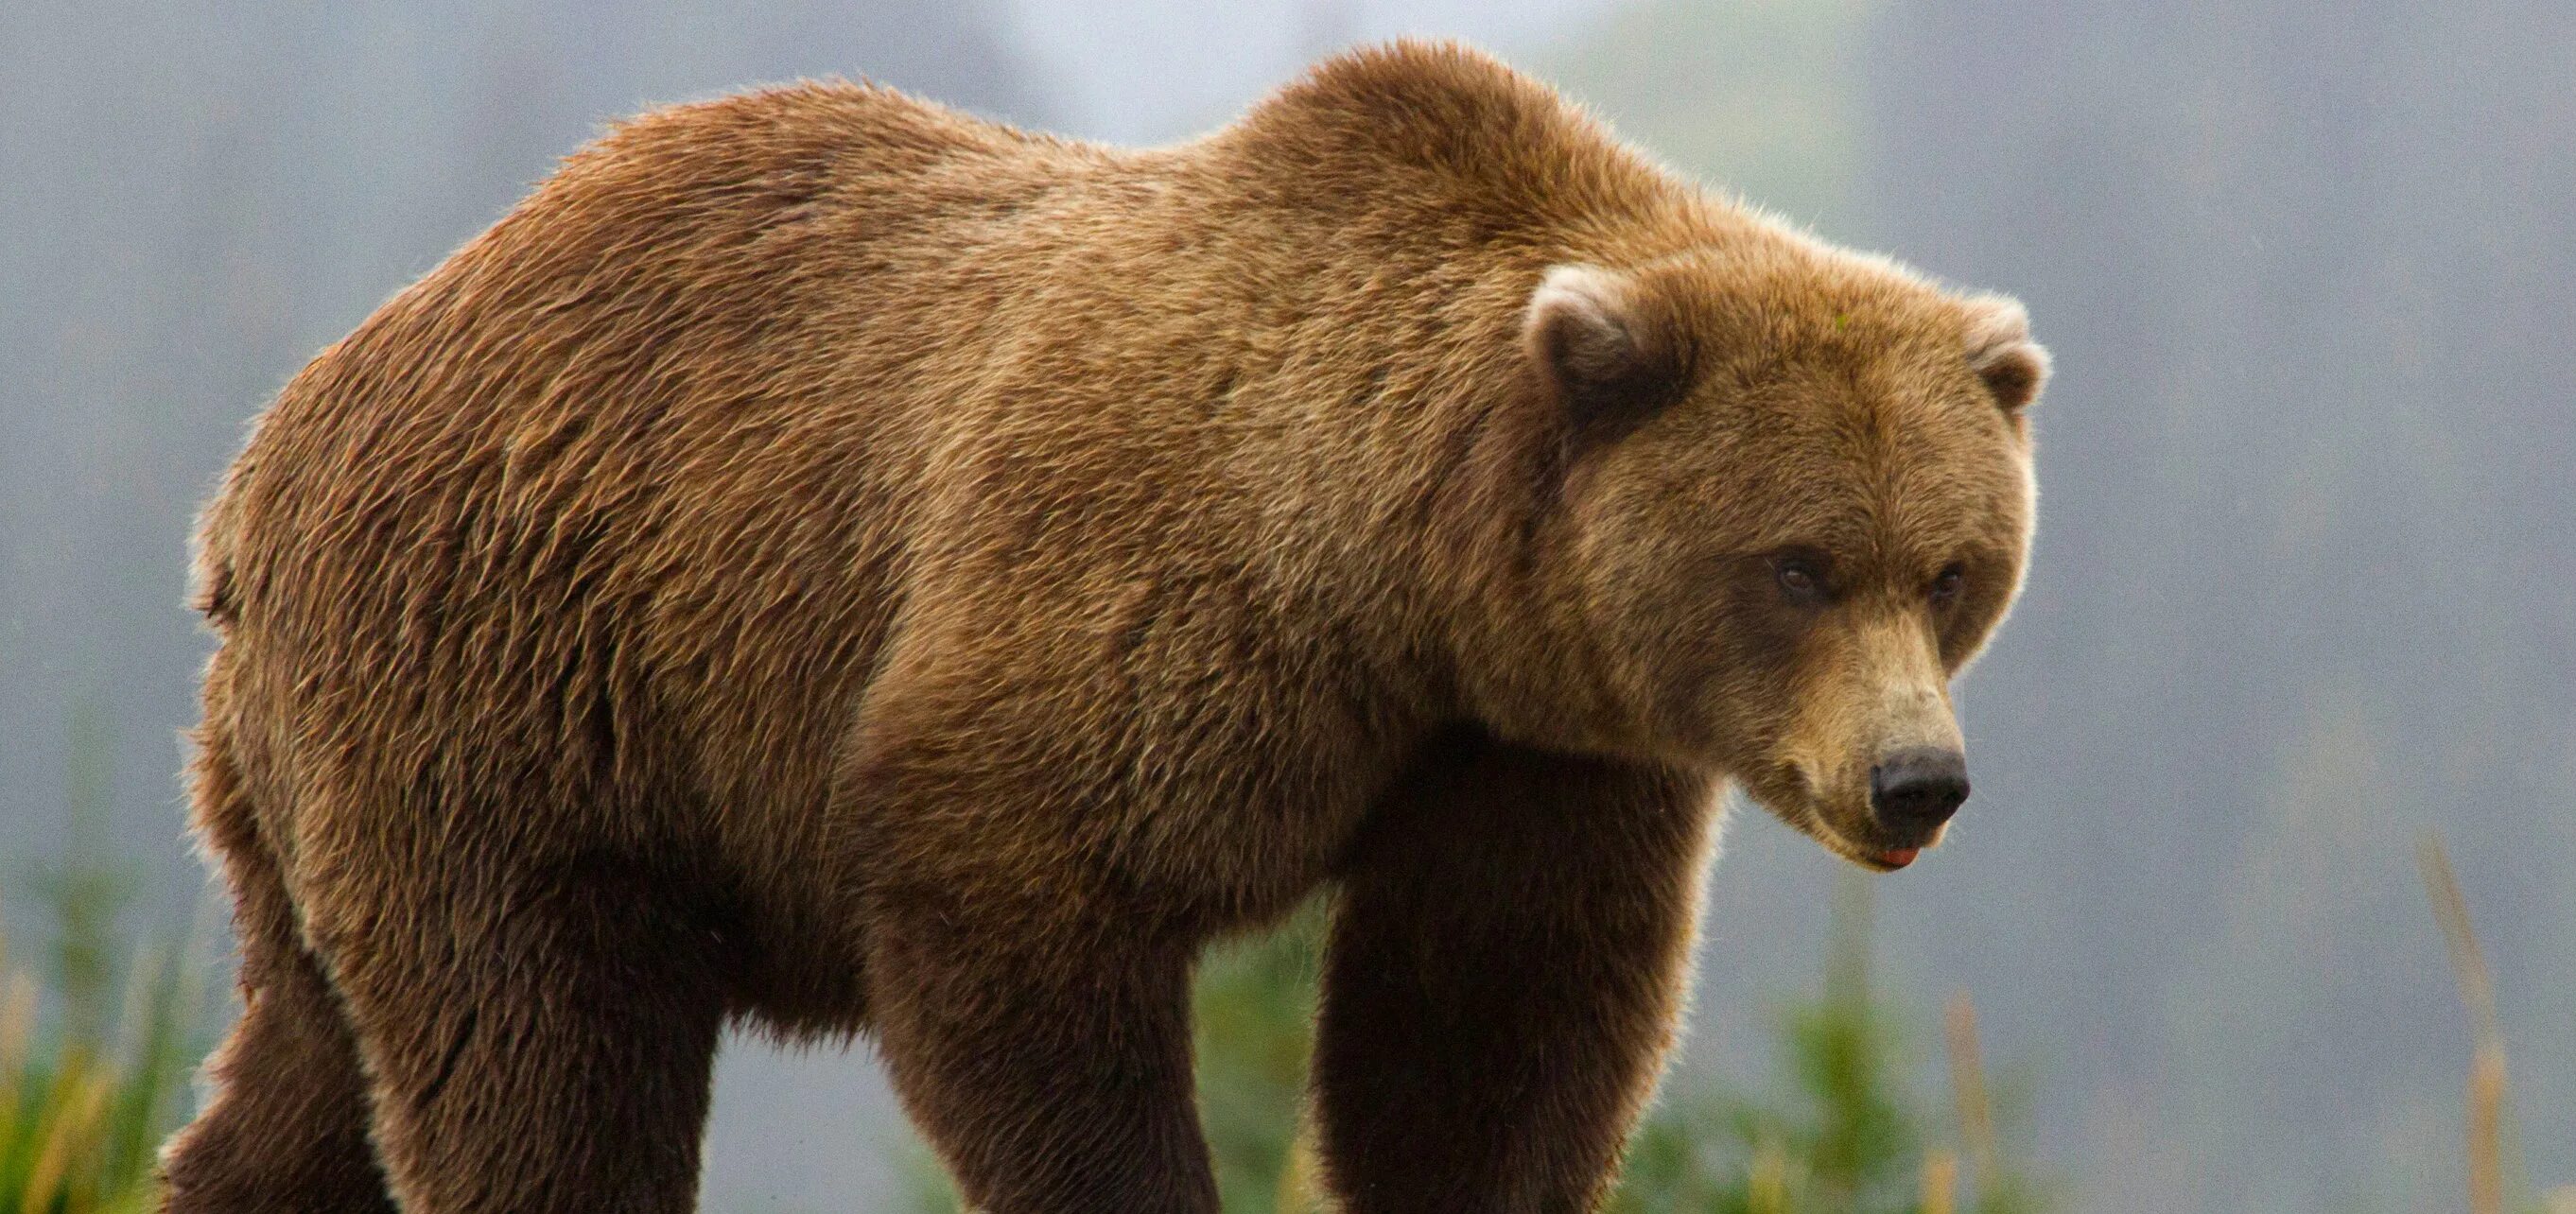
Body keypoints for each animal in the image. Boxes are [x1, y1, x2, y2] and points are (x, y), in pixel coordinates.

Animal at [161, 38, 2050, 1214]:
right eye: (1798, 563)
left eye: (1951, 568)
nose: (1914, 779)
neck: (1407, 575)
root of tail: (271, 447)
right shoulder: (1142, 595)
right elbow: (1020, 913)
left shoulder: (1526, 752)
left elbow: (1485, 1034)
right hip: (516, 687)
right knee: (535, 1056)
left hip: (324, 775)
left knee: (311, 1066)